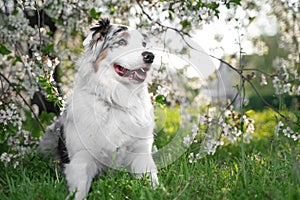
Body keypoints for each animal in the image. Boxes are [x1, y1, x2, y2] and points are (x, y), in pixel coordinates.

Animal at [39, 18, 159, 199]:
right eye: (122, 42)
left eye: (143, 44)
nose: (150, 56)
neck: (115, 100)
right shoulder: (81, 157)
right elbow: (80, 187)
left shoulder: (141, 151)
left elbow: (152, 180)